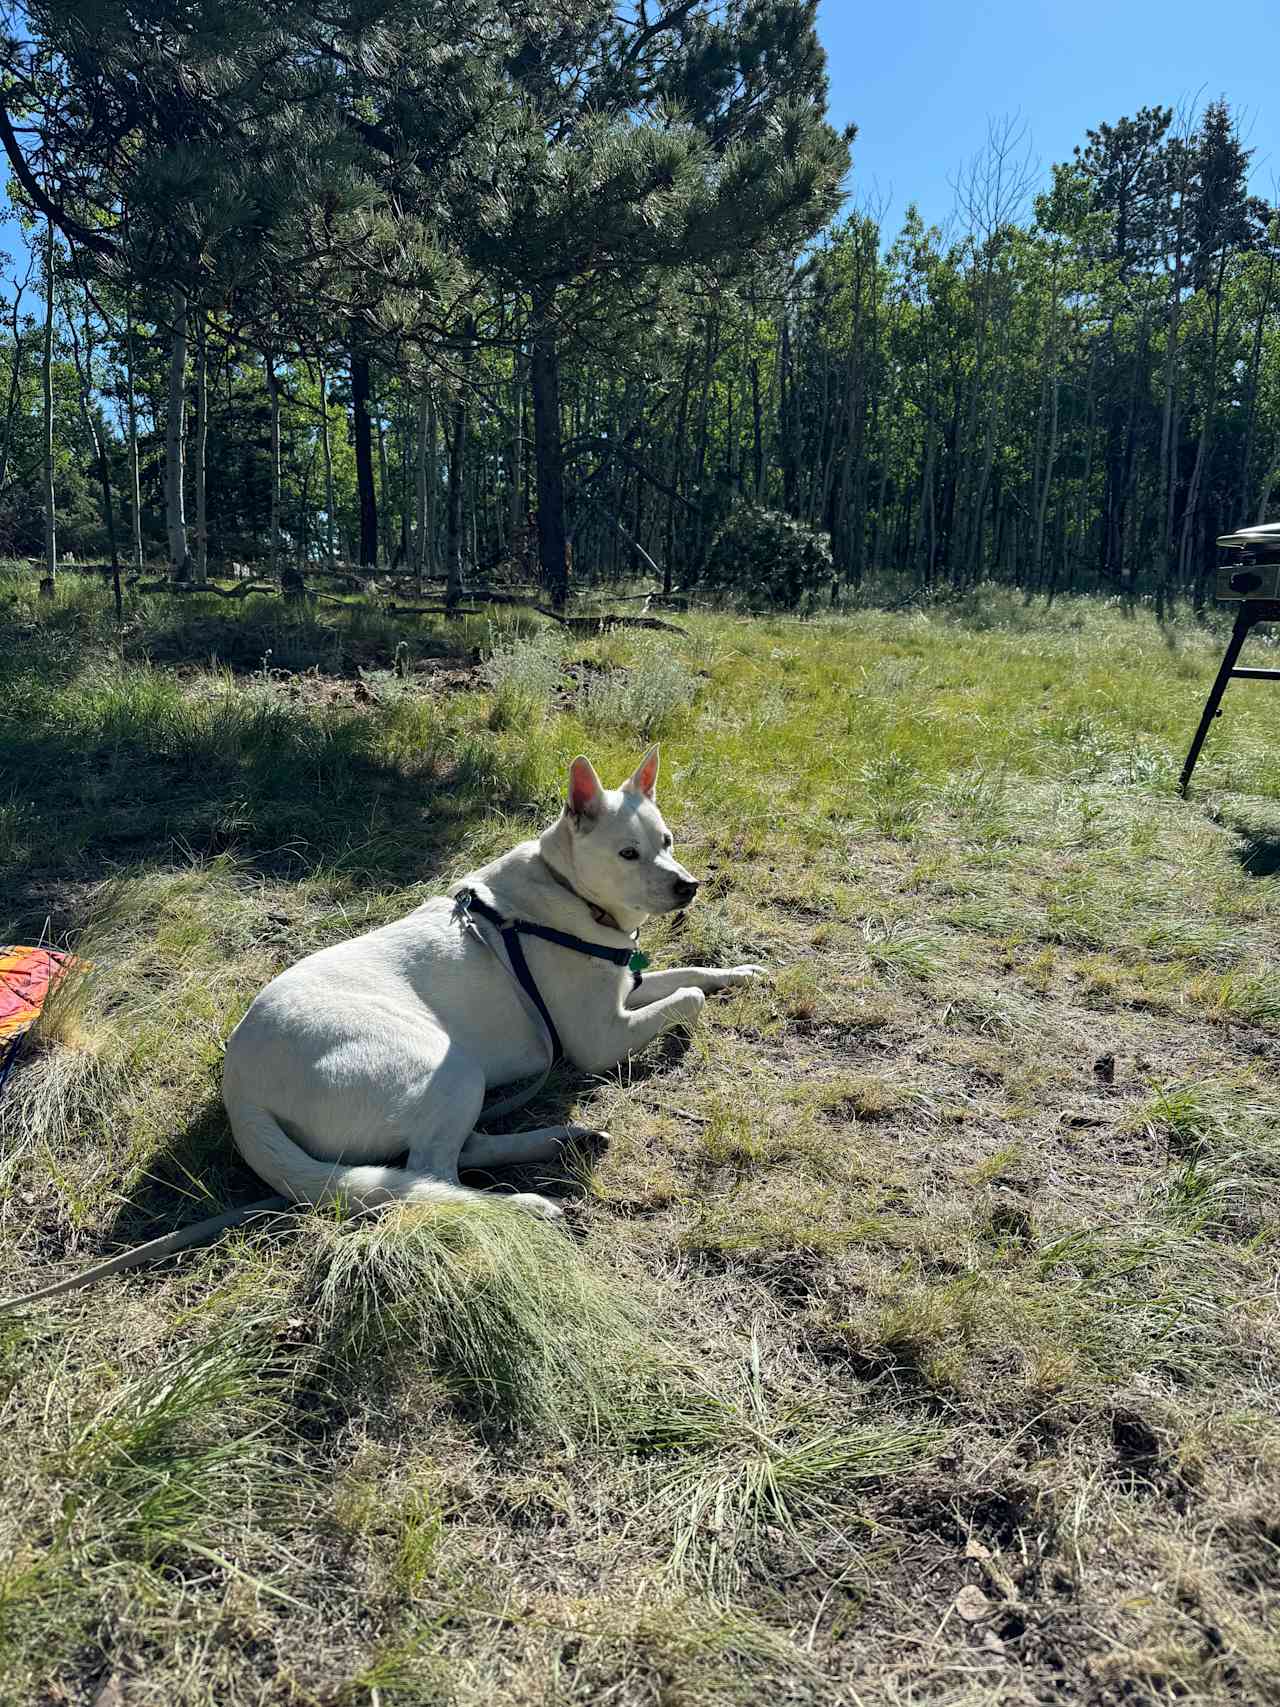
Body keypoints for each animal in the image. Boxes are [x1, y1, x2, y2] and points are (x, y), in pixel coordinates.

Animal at [221, 747, 768, 1215]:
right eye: (628, 854)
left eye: (667, 842)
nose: (689, 886)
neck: (567, 887)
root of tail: (240, 1090)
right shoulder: (602, 1039)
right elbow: (689, 996)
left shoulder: (625, 987)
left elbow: (690, 973)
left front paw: (740, 973)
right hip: (451, 1067)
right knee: (429, 1176)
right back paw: (524, 1205)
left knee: (462, 1153)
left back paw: (561, 1139)